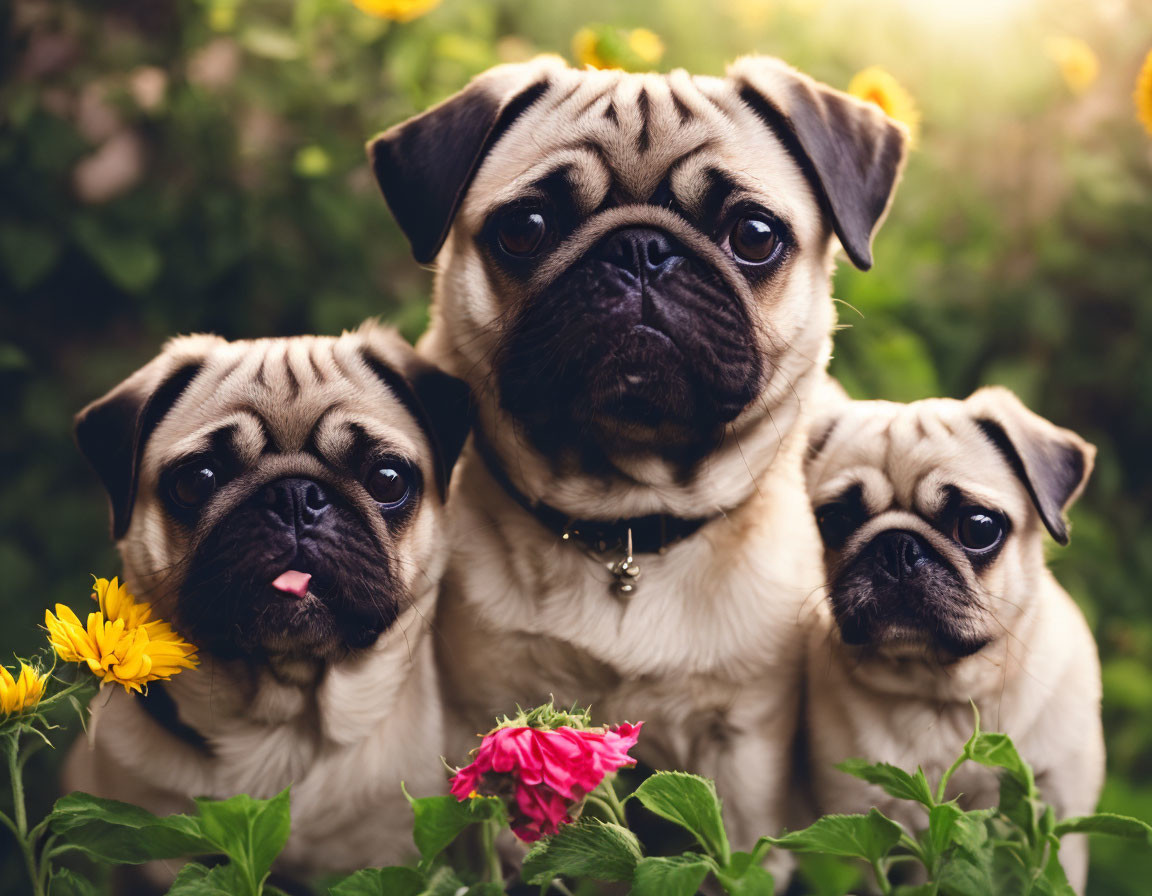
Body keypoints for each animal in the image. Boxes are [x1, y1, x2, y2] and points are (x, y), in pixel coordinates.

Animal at [368, 55, 907, 852]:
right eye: (525, 229)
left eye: (753, 234)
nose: (641, 248)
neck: (626, 520)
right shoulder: (485, 714)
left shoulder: (741, 753)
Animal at [801, 386, 1105, 889]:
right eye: (834, 521)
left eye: (978, 527)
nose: (896, 547)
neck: (945, 695)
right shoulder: (865, 833)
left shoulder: (1057, 817)